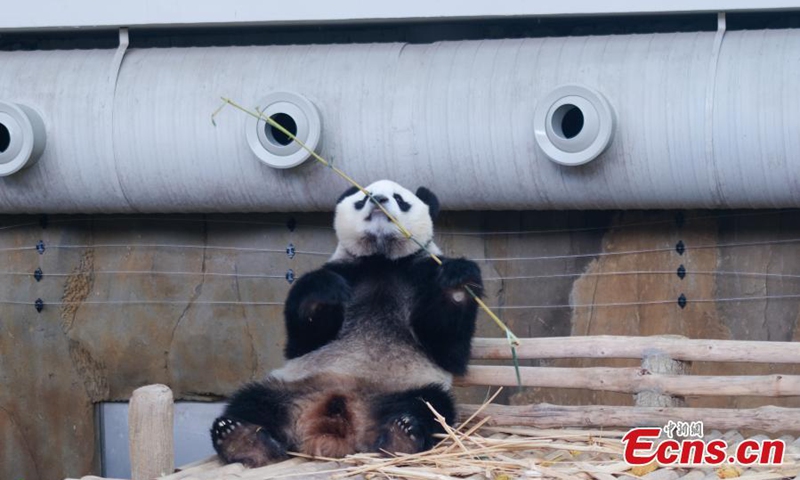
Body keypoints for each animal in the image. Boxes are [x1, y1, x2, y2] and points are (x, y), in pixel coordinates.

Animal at [210, 180, 483, 467]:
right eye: (362, 198)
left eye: (400, 198)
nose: (377, 200)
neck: (380, 260)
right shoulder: (346, 270)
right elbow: (302, 341)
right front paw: (324, 291)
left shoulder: (420, 272)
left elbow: (448, 348)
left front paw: (457, 281)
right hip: (292, 387)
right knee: (252, 400)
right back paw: (240, 438)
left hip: (401, 390)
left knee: (430, 405)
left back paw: (402, 436)